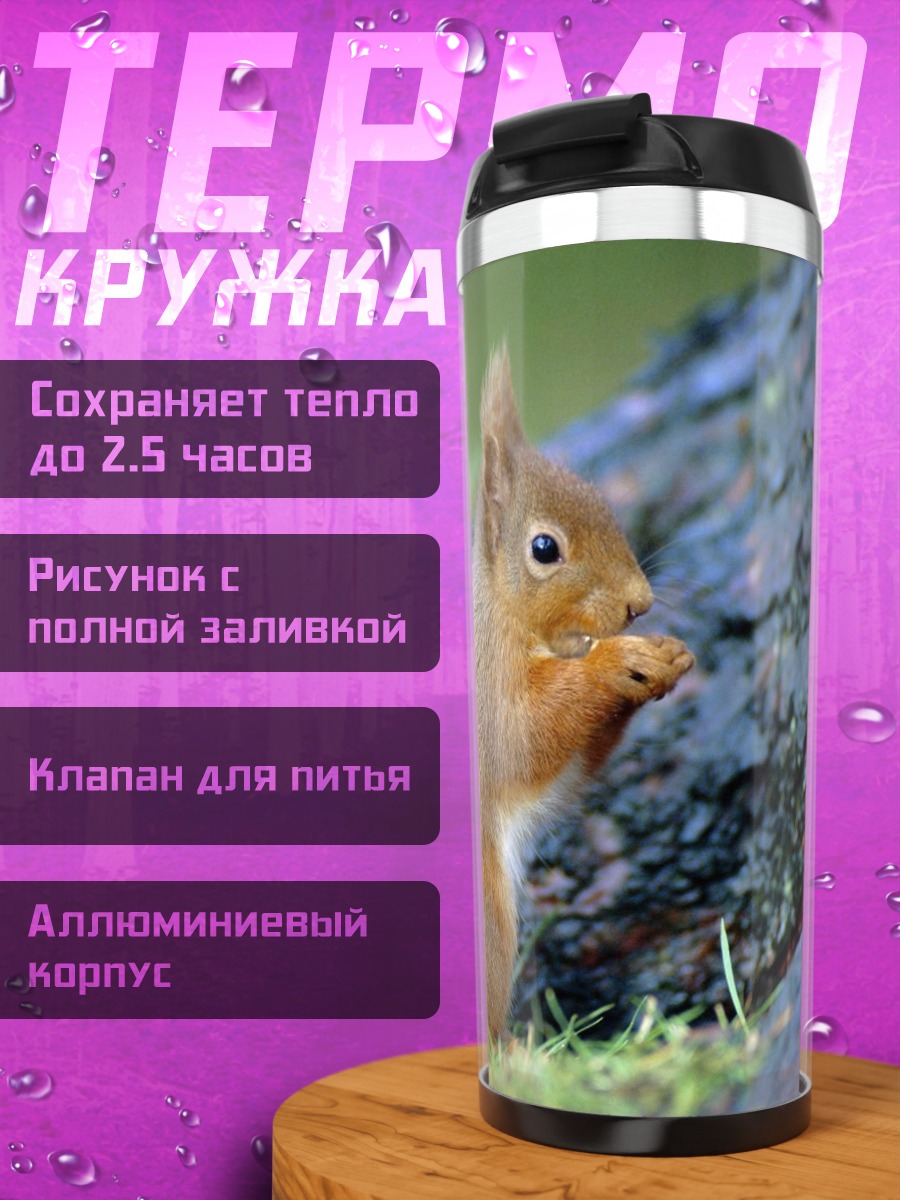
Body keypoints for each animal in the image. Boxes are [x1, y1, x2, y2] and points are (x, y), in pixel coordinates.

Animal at [473, 345, 695, 1038]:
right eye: (544, 548)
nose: (639, 604)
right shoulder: (488, 692)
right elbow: (529, 735)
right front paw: (615, 664)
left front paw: (661, 659)